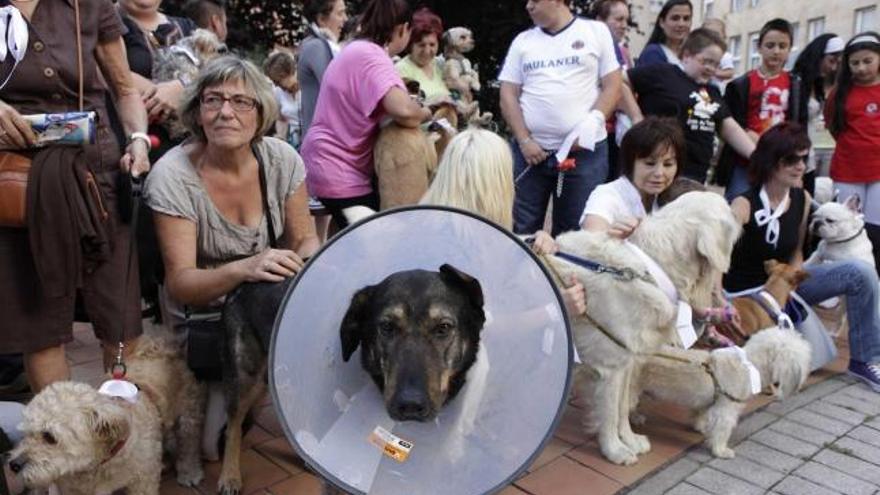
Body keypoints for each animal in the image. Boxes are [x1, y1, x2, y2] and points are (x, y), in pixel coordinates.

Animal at [6, 336, 203, 494]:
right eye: (26, 432)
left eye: (49, 437)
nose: (14, 465)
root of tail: (158, 347)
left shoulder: (143, 481)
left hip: (189, 414)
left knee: (189, 445)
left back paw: (189, 472)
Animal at [552, 192, 744, 466]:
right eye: (728, 210)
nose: (742, 211)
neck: (648, 268)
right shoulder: (609, 364)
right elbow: (609, 412)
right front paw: (615, 450)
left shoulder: (627, 362)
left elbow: (621, 408)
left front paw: (630, 440)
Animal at [632, 328, 812, 460]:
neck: (749, 365)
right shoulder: (726, 409)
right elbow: (722, 430)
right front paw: (720, 451)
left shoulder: (707, 403)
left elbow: (700, 415)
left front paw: (700, 427)